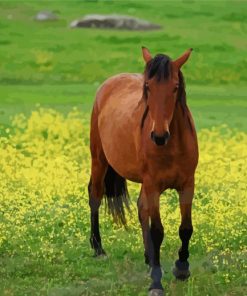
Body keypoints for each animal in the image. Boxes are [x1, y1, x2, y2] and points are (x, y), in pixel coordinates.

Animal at [88, 47, 199, 294]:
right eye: (148, 86)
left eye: (175, 87)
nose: (158, 136)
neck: (172, 146)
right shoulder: (153, 185)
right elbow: (158, 230)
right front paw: (156, 283)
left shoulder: (188, 184)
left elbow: (185, 228)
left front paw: (182, 268)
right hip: (99, 160)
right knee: (95, 195)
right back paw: (98, 249)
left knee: (141, 209)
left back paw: (149, 258)